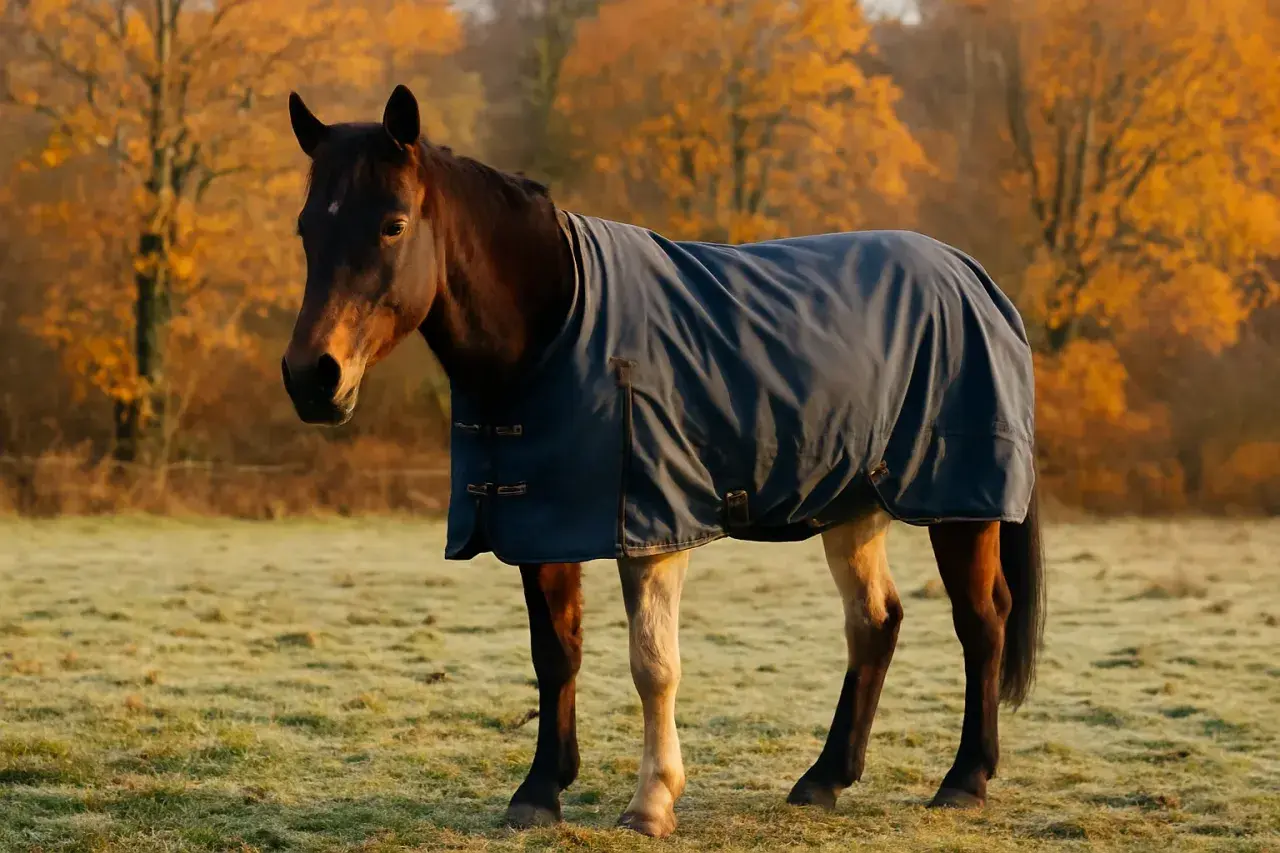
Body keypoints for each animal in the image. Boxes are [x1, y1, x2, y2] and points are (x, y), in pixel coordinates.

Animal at [281, 85, 1046, 838]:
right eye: (306, 229)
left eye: (393, 224)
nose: (312, 378)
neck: (555, 328)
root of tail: (975, 277)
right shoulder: (540, 524)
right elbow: (555, 653)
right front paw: (540, 790)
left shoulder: (652, 528)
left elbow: (653, 665)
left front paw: (651, 801)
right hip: (855, 502)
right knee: (876, 622)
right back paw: (824, 779)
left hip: (959, 505)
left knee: (982, 621)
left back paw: (964, 781)